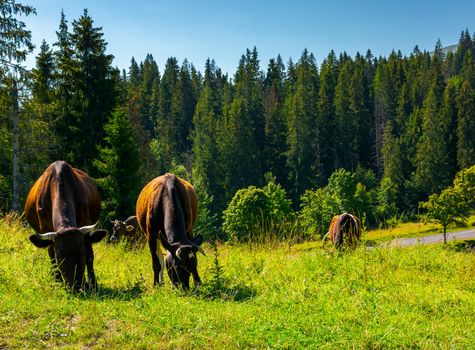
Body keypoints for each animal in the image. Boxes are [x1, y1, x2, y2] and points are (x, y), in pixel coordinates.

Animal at [24, 161, 108, 290]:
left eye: (82, 253)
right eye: (60, 256)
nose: (76, 286)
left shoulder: (85, 225)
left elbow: (90, 256)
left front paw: (92, 284)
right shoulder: (46, 230)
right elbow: (52, 258)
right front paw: (58, 283)